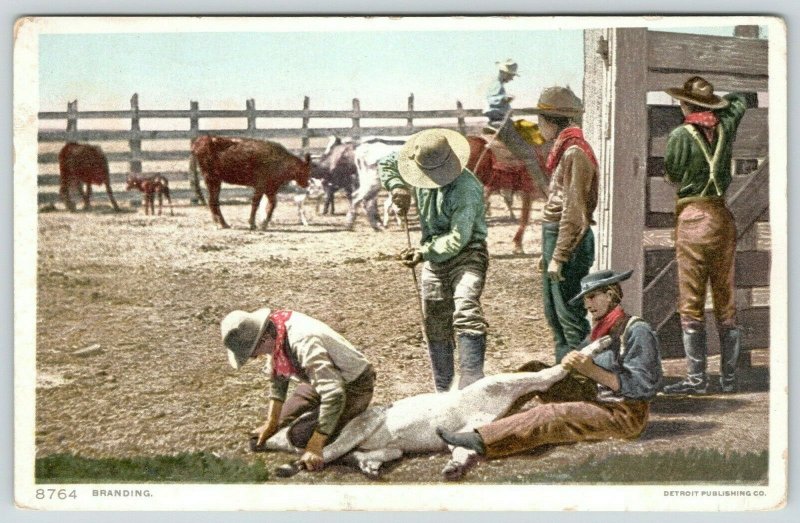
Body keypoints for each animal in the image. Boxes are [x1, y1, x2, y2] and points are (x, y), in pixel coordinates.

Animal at [260, 338, 608, 482]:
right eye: (579, 382)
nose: (598, 395)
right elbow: (554, 372)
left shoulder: (464, 432)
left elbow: (462, 450)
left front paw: (453, 468)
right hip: (366, 428)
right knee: (329, 453)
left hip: (391, 446)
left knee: (358, 455)